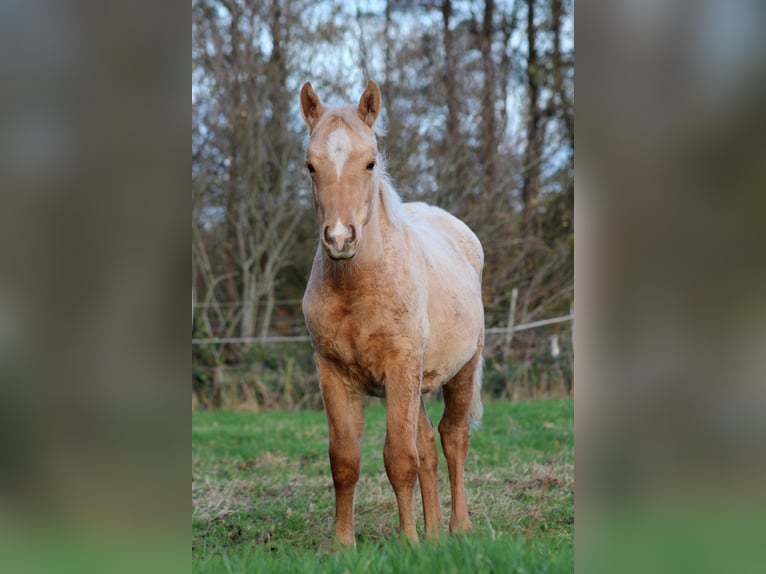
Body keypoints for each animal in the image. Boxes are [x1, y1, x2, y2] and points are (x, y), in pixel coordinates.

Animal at [300, 80, 484, 546]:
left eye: (370, 163)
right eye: (310, 166)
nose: (340, 239)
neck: (357, 286)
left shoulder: (400, 367)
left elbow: (400, 458)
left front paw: (409, 544)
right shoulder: (333, 373)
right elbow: (345, 461)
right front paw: (342, 547)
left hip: (461, 369)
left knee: (453, 439)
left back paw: (458, 528)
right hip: (416, 384)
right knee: (429, 447)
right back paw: (435, 534)